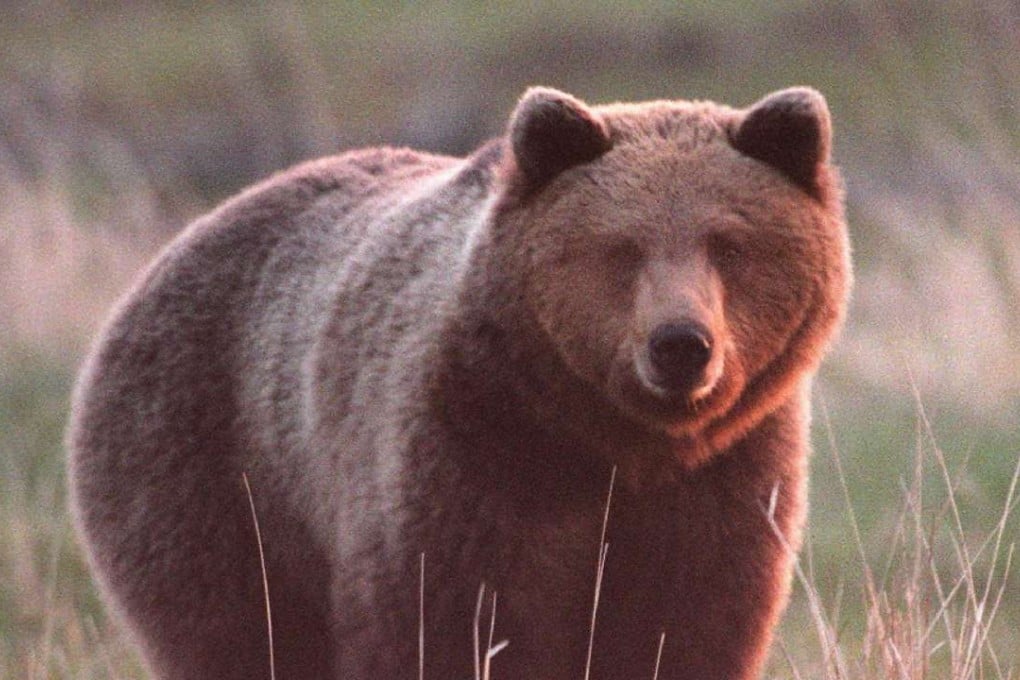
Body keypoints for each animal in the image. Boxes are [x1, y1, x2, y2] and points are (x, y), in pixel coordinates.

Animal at [68, 85, 851, 680]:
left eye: (729, 242)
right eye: (622, 248)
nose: (680, 345)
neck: (614, 440)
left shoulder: (720, 482)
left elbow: (684, 627)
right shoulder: (474, 455)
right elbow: (451, 622)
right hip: (209, 467)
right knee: (232, 629)